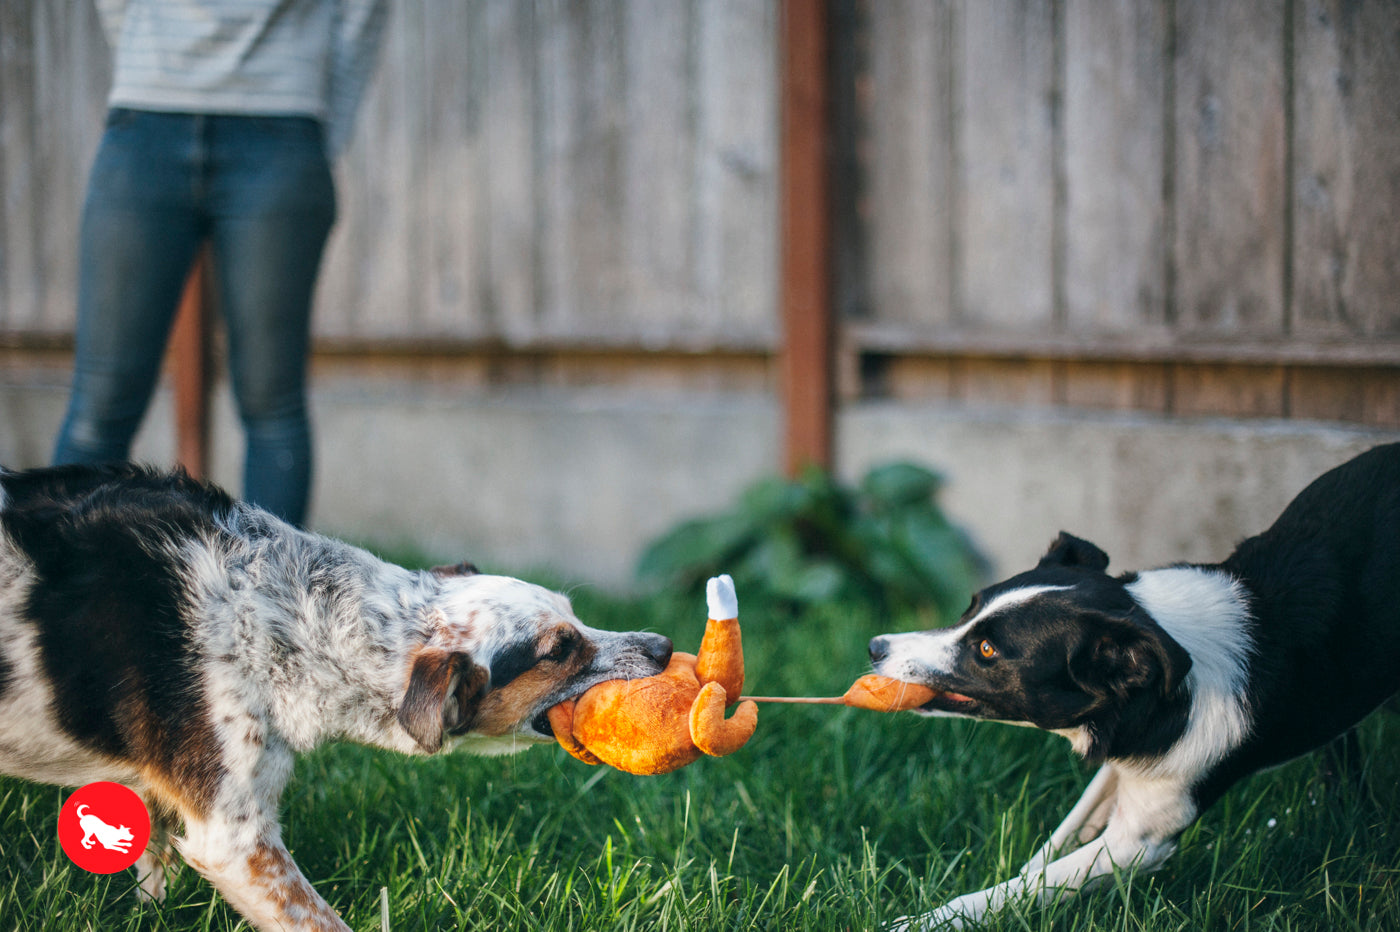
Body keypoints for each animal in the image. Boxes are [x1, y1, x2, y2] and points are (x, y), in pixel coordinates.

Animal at [0, 461, 672, 929]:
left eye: (575, 618)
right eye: (559, 650)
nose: (665, 646)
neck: (286, 615)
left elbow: (150, 857)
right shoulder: (234, 838)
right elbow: (318, 920)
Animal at [873, 442, 1400, 923]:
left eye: (986, 650)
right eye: (969, 608)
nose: (877, 648)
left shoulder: (1142, 840)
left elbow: (1027, 885)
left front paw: (924, 921)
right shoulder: (1128, 758)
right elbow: (1050, 851)